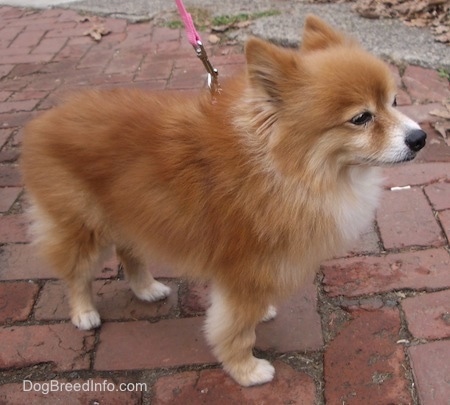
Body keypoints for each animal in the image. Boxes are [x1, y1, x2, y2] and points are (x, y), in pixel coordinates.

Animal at [21, 15, 428, 386]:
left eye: (394, 101)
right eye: (361, 118)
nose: (420, 137)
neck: (292, 172)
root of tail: (44, 122)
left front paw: (260, 318)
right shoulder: (244, 272)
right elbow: (235, 329)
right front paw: (246, 370)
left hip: (128, 213)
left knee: (128, 251)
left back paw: (146, 289)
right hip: (83, 225)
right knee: (76, 272)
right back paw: (84, 312)